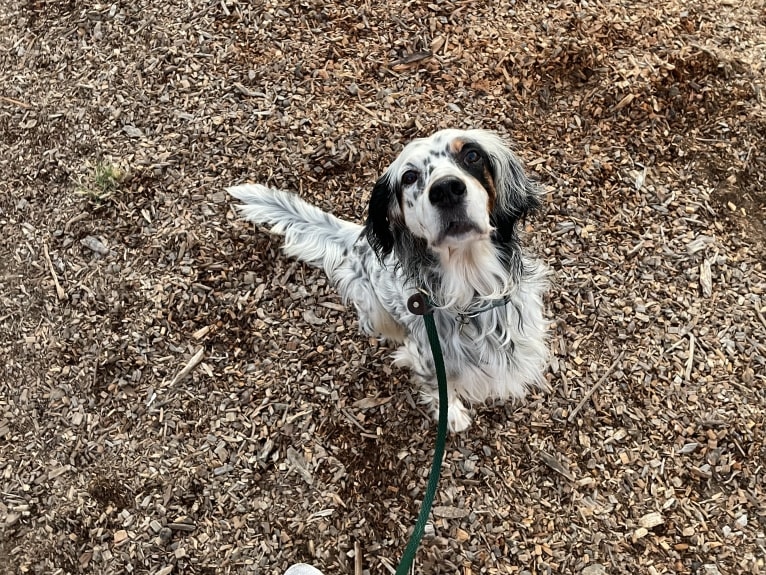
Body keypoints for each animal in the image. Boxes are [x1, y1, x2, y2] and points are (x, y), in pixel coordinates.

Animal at [228, 129, 552, 432]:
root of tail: (358, 238)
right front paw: (453, 416)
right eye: (409, 177)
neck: (470, 291)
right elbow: (440, 392)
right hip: (374, 310)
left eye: (472, 155)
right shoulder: (427, 359)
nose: (446, 190)